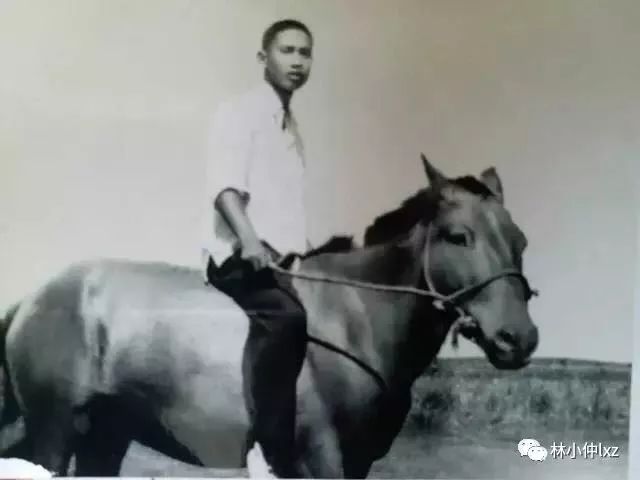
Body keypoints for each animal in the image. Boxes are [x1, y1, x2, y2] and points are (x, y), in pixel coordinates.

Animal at [0, 156, 539, 478]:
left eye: (520, 239)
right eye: (457, 236)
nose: (519, 338)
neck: (356, 321)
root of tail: (31, 297)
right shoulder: (320, 460)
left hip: (106, 433)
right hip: (54, 432)